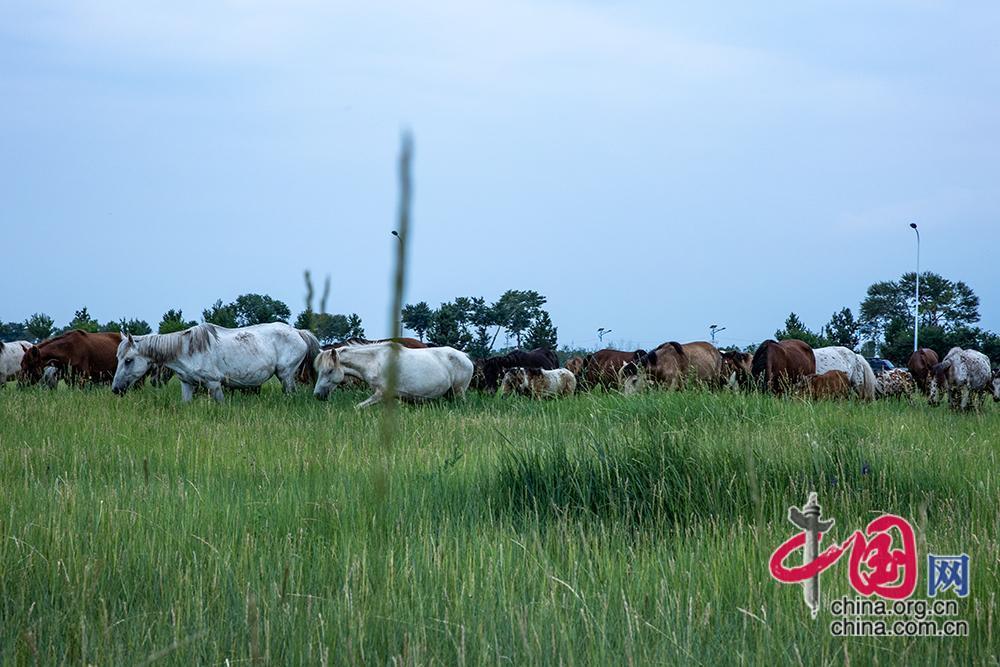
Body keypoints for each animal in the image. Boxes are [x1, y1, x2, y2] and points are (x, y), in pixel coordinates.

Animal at [111, 322, 318, 402]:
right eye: (118, 359)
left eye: (128, 360)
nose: (115, 389)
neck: (187, 348)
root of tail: (298, 332)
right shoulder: (187, 384)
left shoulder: (214, 384)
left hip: (286, 375)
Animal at [314, 342, 474, 410]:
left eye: (329, 371)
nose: (317, 395)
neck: (374, 361)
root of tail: (465, 356)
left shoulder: (380, 394)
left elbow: (358, 407)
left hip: (459, 393)